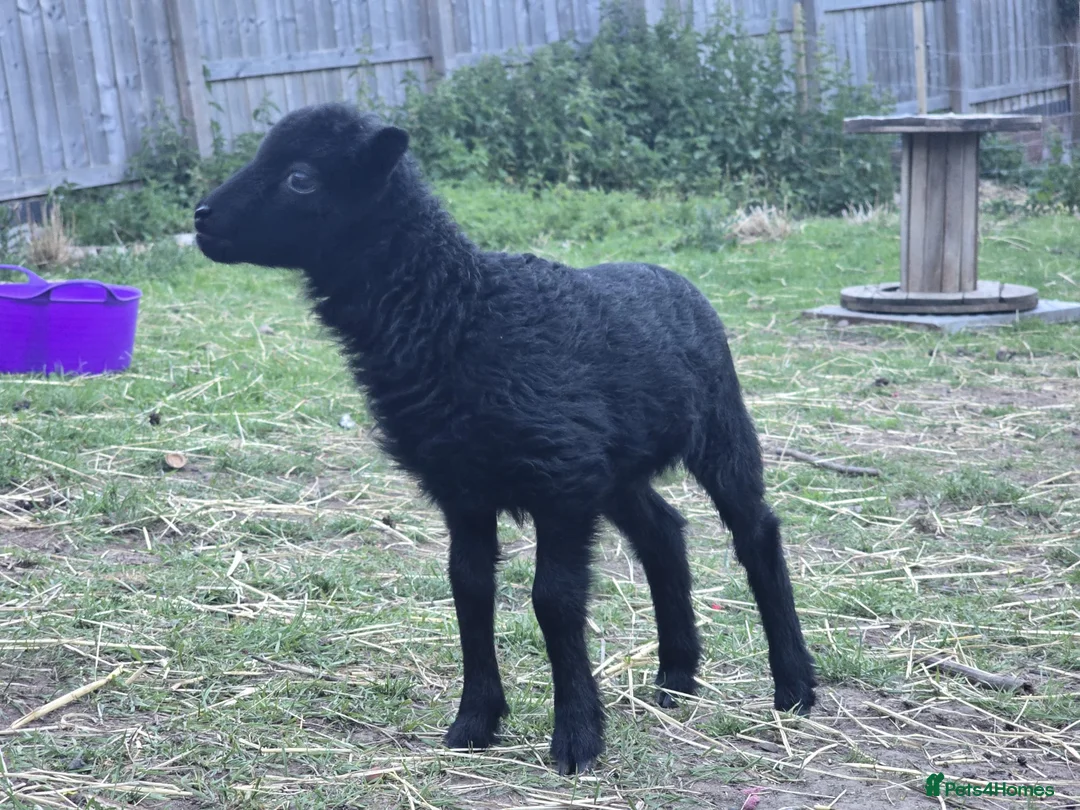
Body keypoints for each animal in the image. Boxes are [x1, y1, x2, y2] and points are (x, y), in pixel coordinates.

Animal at [193, 102, 816, 775]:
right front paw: (473, 722)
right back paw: (676, 676)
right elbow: (469, 589)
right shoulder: (463, 487)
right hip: (614, 469)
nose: (201, 218)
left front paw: (576, 738)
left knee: (757, 533)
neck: (459, 314)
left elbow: (554, 601)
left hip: (719, 428)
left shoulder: (560, 483)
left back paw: (794, 685)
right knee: (663, 533)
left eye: (301, 179)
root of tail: (673, 276)